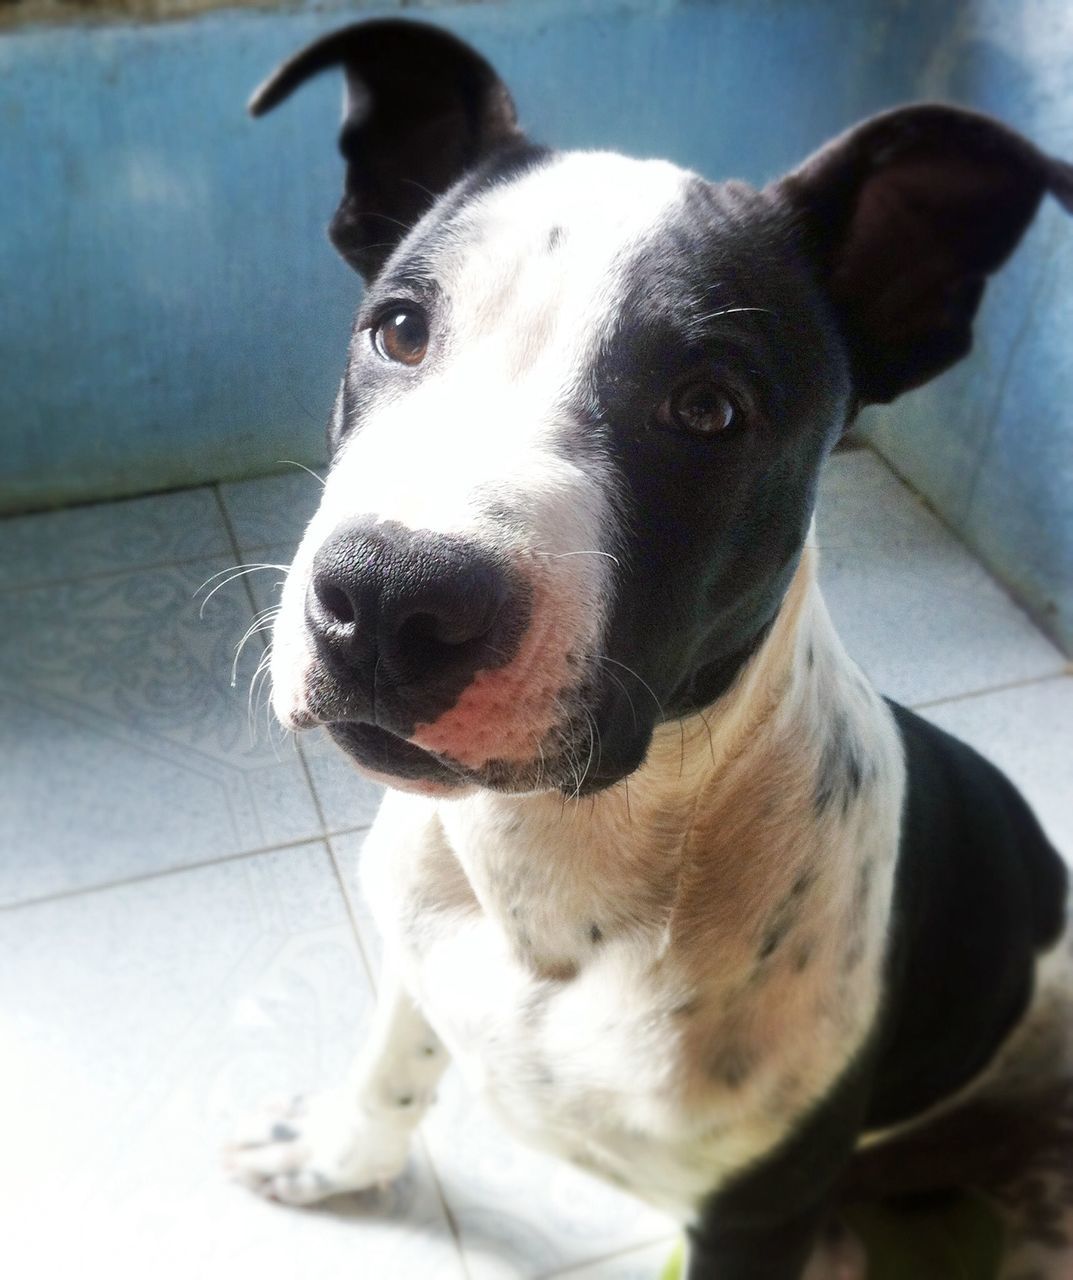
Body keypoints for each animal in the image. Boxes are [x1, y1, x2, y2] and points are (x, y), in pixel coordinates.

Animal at [229, 20, 1073, 1280]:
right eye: (400, 328)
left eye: (707, 408)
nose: (385, 597)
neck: (554, 860)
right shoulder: (419, 964)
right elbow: (390, 1072)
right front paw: (334, 1156)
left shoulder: (754, 1213)